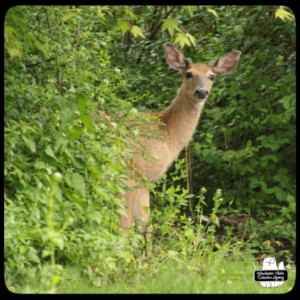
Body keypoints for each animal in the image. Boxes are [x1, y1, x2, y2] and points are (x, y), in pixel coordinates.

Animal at [106, 41, 241, 239]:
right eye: (189, 74)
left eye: (212, 76)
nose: (202, 92)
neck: (167, 133)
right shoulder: (132, 174)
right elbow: (125, 227)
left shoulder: (146, 181)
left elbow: (145, 224)